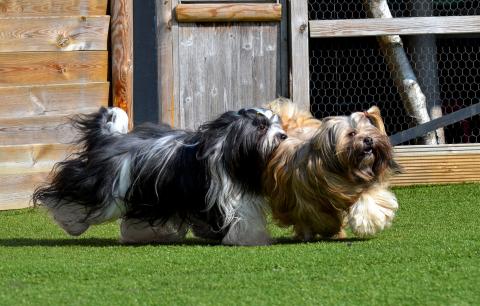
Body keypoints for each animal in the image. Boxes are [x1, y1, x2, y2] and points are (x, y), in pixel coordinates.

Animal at [34, 106, 288, 245]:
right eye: (261, 127)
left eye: (276, 124)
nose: (283, 136)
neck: (228, 150)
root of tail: (111, 139)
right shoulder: (224, 196)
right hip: (107, 188)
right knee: (69, 197)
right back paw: (69, 222)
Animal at [264, 99, 400, 240]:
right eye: (352, 133)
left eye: (370, 131)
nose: (368, 139)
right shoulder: (308, 201)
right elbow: (318, 216)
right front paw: (331, 229)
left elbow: (369, 198)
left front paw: (367, 223)